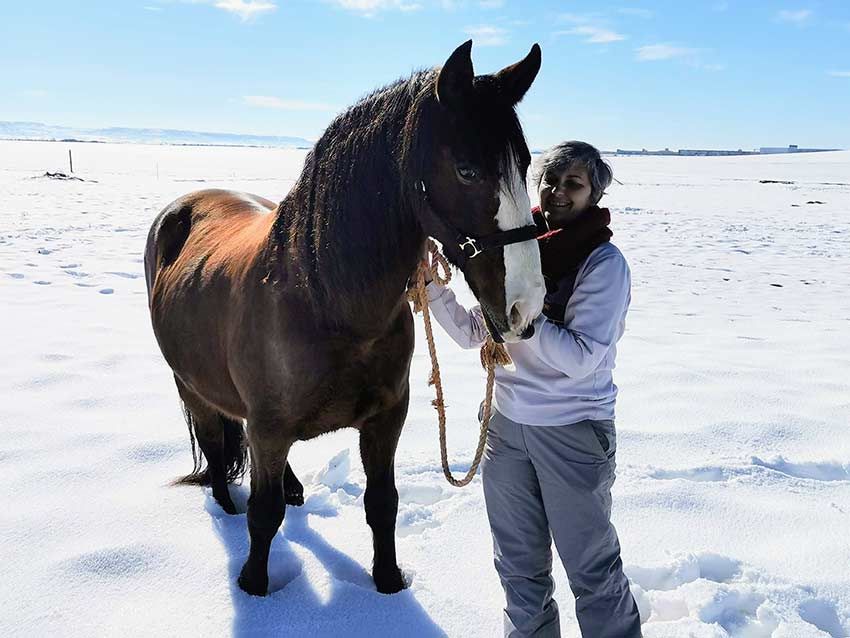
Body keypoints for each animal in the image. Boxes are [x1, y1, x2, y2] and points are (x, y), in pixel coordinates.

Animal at [144, 41, 544, 600]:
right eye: (467, 170)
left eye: (526, 165)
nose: (526, 307)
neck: (326, 303)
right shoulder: (269, 426)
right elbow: (262, 515)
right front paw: (254, 588)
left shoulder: (385, 419)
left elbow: (383, 504)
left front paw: (389, 583)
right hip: (192, 387)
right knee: (217, 447)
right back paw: (226, 507)